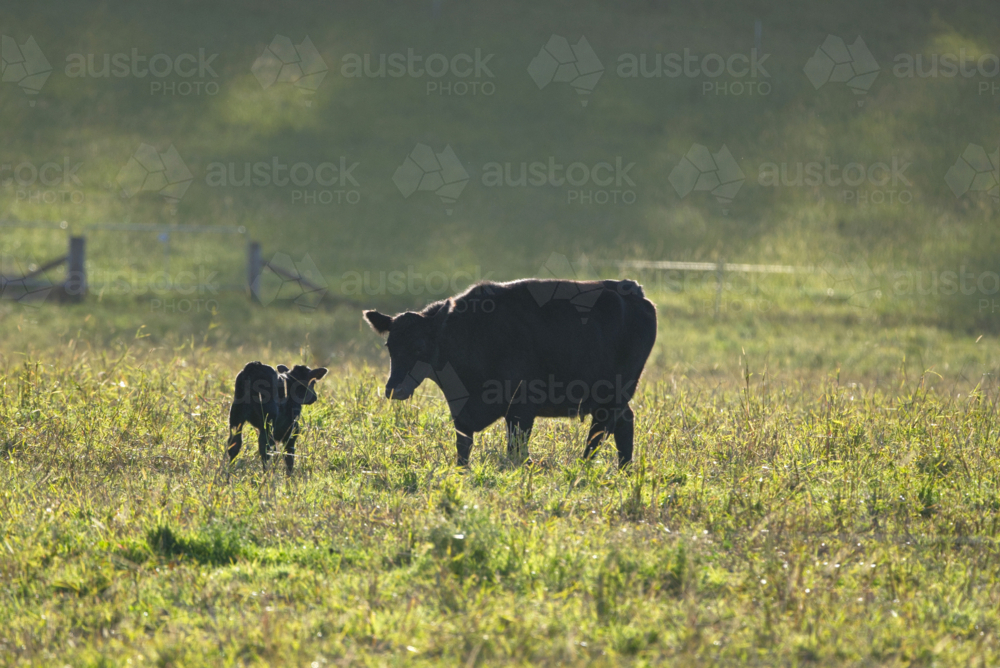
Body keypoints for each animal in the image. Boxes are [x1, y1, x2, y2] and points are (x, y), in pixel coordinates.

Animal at [363, 279, 656, 468]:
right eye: (390, 346)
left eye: (419, 346)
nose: (394, 389)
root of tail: (630, 288)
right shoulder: (462, 413)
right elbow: (463, 449)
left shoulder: (522, 408)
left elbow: (517, 453)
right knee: (623, 425)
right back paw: (623, 470)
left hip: (614, 394)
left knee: (600, 432)